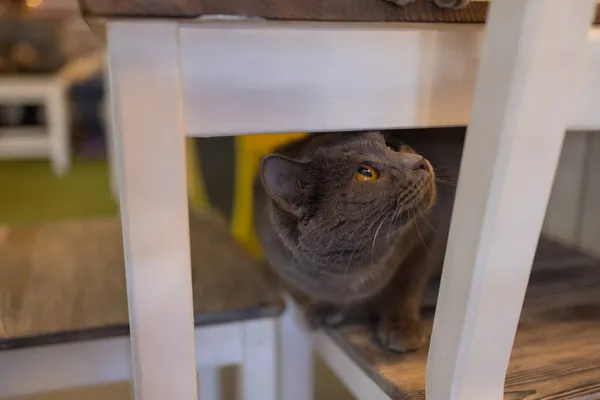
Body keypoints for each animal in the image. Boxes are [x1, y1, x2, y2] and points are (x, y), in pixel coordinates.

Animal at [254, 128, 464, 350]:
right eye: (365, 173)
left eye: (391, 146)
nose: (420, 161)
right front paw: (323, 309)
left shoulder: (431, 234)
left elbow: (406, 284)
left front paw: (401, 327)